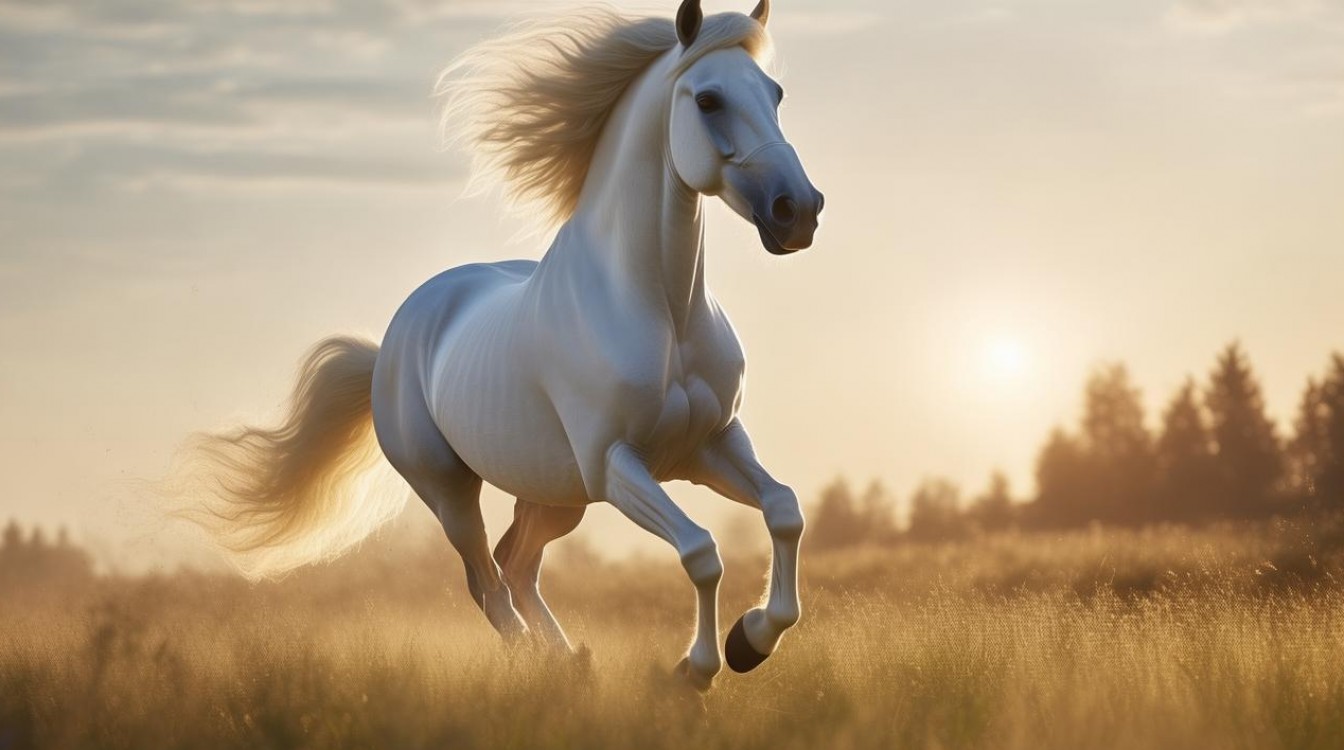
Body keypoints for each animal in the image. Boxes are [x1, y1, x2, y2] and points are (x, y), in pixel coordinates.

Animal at [187, 0, 823, 691]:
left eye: (775, 93)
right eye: (708, 100)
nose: (799, 211)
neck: (662, 312)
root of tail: (390, 347)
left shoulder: (711, 445)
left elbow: (785, 510)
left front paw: (750, 640)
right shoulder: (617, 465)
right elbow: (701, 551)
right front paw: (696, 670)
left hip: (552, 495)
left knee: (515, 567)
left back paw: (572, 662)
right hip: (450, 491)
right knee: (486, 582)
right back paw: (547, 667)